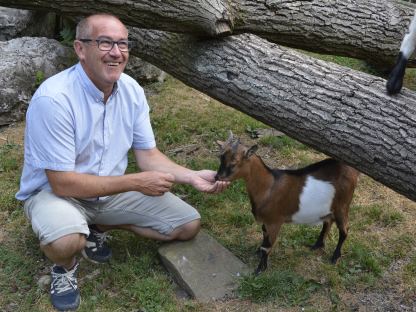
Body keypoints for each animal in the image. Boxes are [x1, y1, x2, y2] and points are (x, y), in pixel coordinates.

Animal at [216, 133, 360, 274]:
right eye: (221, 157)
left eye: (234, 163)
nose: (217, 177)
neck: (269, 187)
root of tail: (352, 170)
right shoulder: (266, 222)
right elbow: (264, 237)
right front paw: (258, 254)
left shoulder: (274, 222)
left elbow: (267, 246)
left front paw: (260, 270)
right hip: (329, 207)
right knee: (328, 222)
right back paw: (316, 245)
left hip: (342, 205)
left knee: (344, 230)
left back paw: (335, 257)